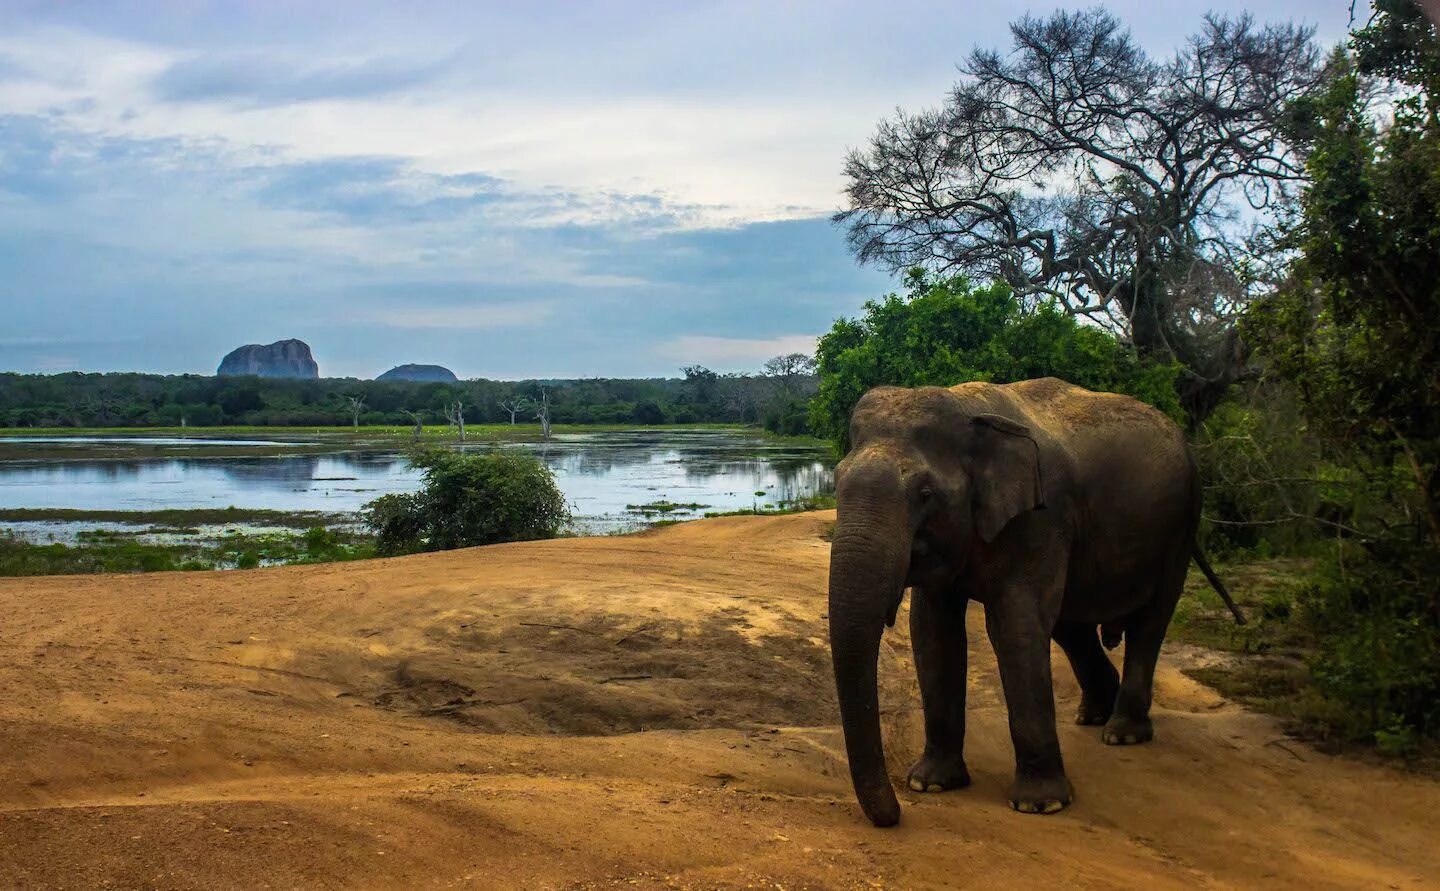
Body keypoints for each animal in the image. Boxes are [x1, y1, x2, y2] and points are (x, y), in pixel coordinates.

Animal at [829, 377, 1244, 829]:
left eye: (926, 493)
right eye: (835, 482)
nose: (896, 815)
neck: (967, 407)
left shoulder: (1041, 517)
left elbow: (1016, 625)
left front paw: (1040, 805)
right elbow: (933, 631)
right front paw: (931, 783)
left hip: (1181, 526)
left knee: (1150, 619)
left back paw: (1121, 733)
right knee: (1071, 626)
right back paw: (1093, 715)